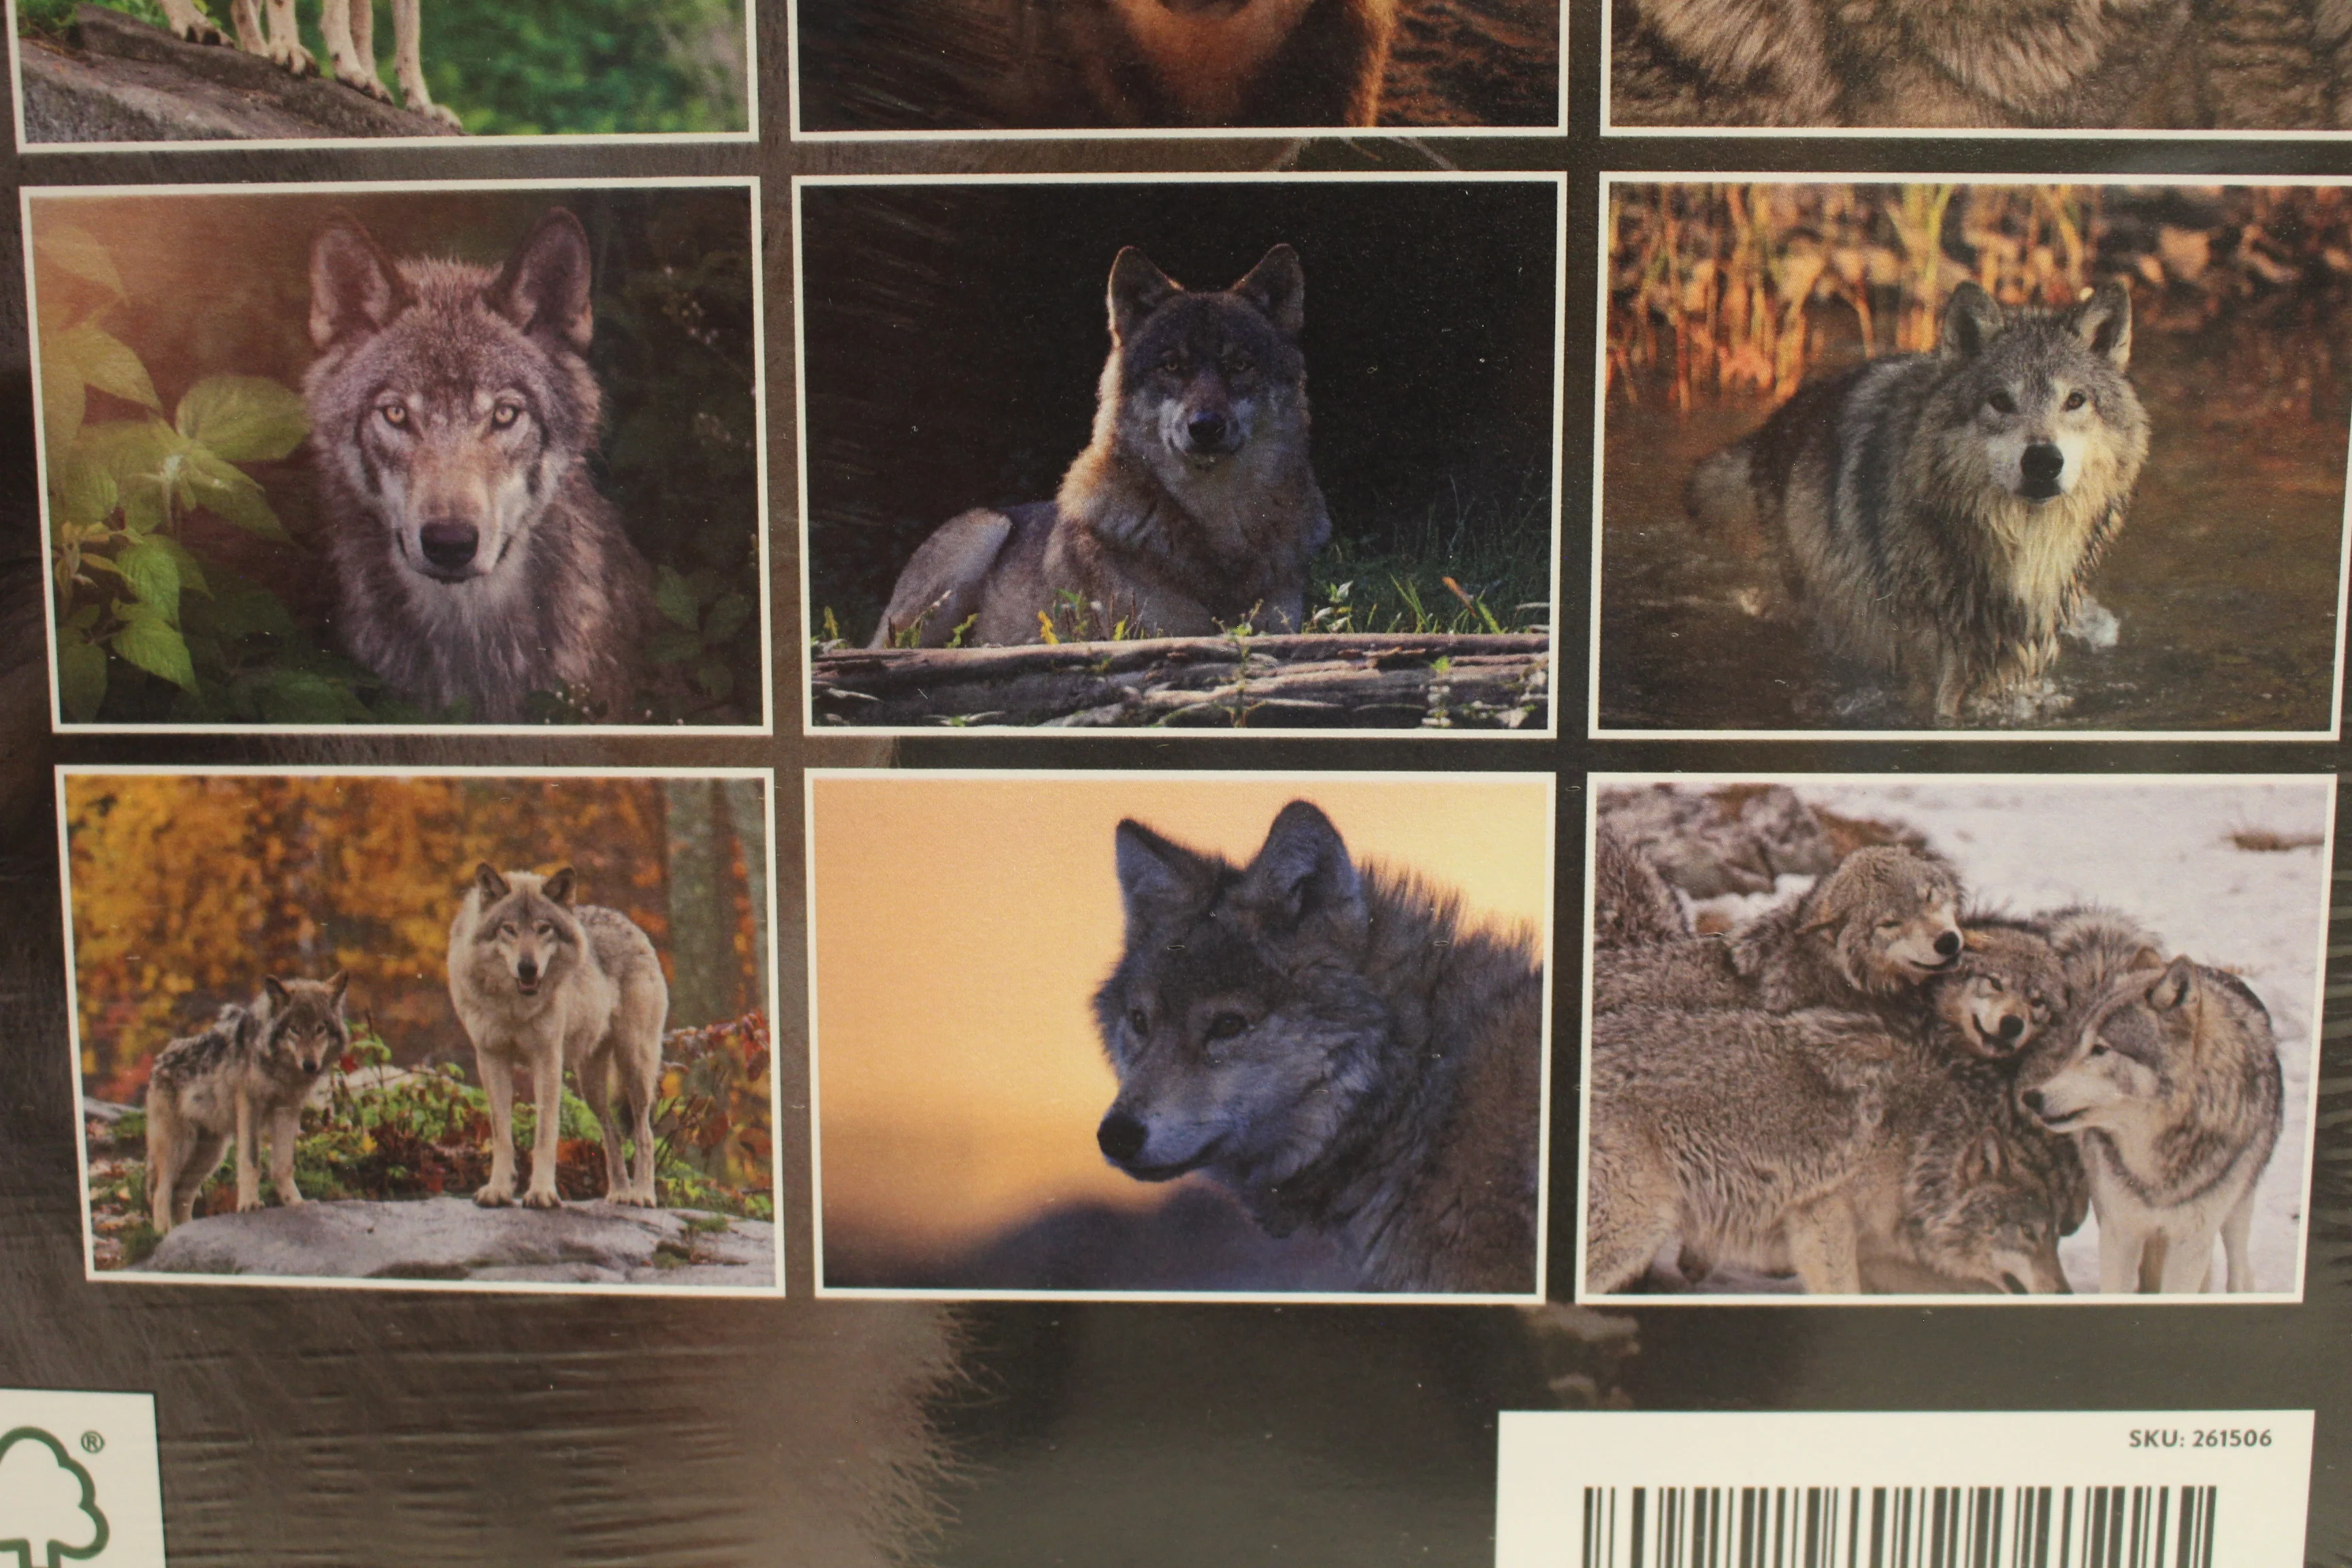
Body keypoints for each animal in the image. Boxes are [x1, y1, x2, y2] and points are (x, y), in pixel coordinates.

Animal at [145, 973, 350, 1235]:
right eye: (294, 1030)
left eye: (320, 1029)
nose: (310, 1065)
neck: (281, 1070)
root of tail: (159, 1061)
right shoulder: (250, 1105)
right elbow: (251, 1161)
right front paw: (250, 1204)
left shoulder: (288, 1111)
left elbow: (283, 1165)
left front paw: (296, 1203)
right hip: (179, 1147)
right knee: (162, 1191)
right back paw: (163, 1233)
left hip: (209, 1155)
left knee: (181, 1194)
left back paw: (185, 1232)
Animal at [447, 865, 668, 1209]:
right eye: (508, 929)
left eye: (544, 929)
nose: (527, 968)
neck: (514, 1006)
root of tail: (629, 923)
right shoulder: (491, 1059)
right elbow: (501, 1134)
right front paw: (498, 1190)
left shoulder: (547, 1060)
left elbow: (545, 1134)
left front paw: (541, 1193)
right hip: (590, 1086)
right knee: (613, 1134)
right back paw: (619, 1193)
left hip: (635, 1067)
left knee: (645, 1134)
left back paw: (643, 1194)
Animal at [870, 245, 1331, 649]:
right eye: (1171, 366)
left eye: (1240, 365)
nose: (1205, 427)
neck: (1215, 522)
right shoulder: (1151, 629)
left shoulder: (1276, 625)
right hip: (980, 536)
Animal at [1687, 280, 2150, 726]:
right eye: (2001, 401)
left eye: (2075, 400)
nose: (2043, 461)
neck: (2015, 547)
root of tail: (1775, 425)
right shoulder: (1930, 680)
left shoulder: (2008, 669)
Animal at [2018, 953, 2285, 1293]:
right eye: (2076, 1046)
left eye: (2100, 1049)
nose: (2032, 1097)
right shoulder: (2121, 1231)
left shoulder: (2190, 1243)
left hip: (2238, 1207)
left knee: (2240, 1269)